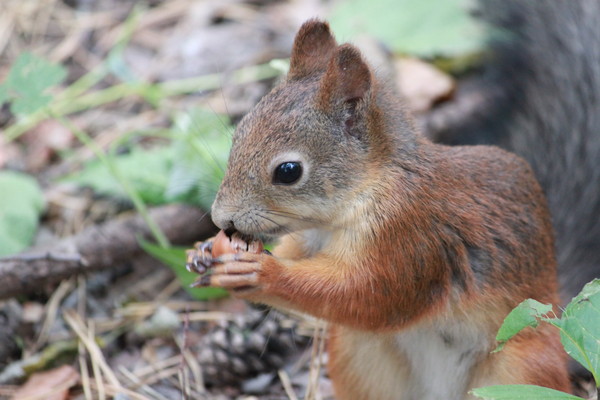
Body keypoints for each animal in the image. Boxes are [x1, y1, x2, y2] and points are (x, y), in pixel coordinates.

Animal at [186, 11, 572, 396]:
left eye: (288, 171)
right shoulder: (310, 239)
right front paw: (202, 251)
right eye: (238, 134)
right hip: (358, 354)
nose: (222, 220)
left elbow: (370, 296)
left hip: (522, 365)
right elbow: (300, 258)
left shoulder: (408, 235)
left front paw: (262, 273)